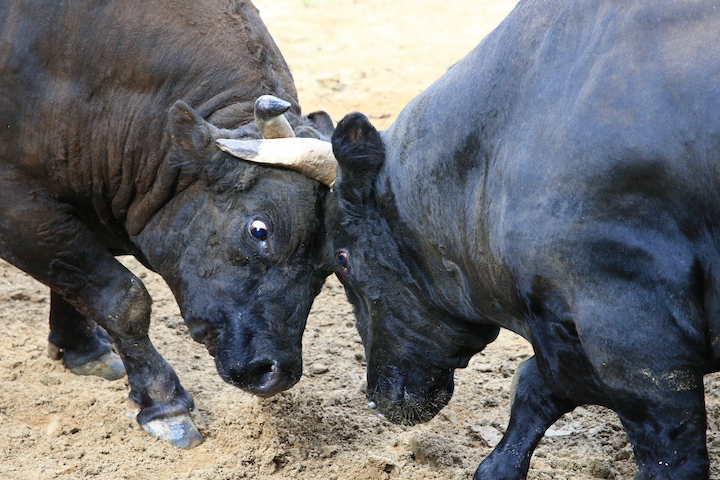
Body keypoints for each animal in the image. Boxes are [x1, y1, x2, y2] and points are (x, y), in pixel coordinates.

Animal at [0, 0, 338, 448]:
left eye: (328, 265)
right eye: (259, 230)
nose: (274, 372)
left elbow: (71, 284)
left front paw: (82, 349)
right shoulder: (19, 208)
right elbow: (122, 296)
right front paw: (165, 404)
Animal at [322, 0, 720, 478]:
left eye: (342, 259)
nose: (375, 396)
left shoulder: (637, 339)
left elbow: (671, 453)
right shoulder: (563, 335)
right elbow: (534, 388)